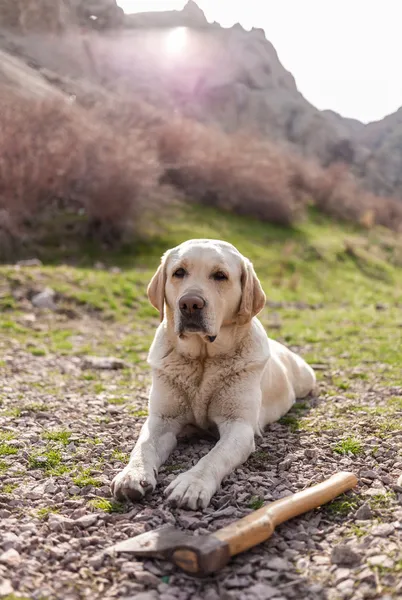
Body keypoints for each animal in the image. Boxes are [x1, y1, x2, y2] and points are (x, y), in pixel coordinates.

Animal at [111, 237, 316, 508]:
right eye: (179, 272)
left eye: (220, 276)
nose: (190, 304)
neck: (203, 359)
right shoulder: (161, 420)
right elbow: (143, 446)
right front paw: (132, 474)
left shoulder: (238, 426)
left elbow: (214, 456)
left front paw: (191, 484)